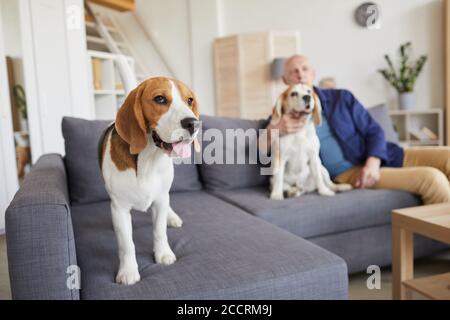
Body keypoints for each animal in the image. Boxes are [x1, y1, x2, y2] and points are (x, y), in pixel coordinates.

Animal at [99, 77, 200, 284]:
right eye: (160, 99)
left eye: (190, 100)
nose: (194, 124)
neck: (148, 158)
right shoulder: (119, 208)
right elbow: (127, 244)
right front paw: (128, 270)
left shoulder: (160, 200)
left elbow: (159, 231)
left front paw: (163, 254)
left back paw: (172, 216)